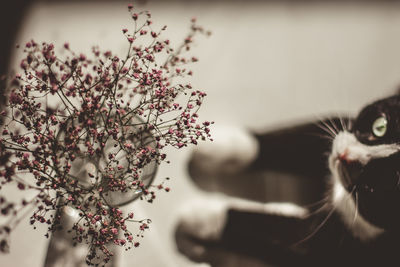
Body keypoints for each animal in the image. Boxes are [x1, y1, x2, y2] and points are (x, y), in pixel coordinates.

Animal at [177, 94, 400, 267]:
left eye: (387, 182)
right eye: (380, 126)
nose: (346, 155)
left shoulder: (337, 248)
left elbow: (275, 232)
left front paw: (200, 215)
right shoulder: (333, 129)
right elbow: (291, 141)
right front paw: (217, 145)